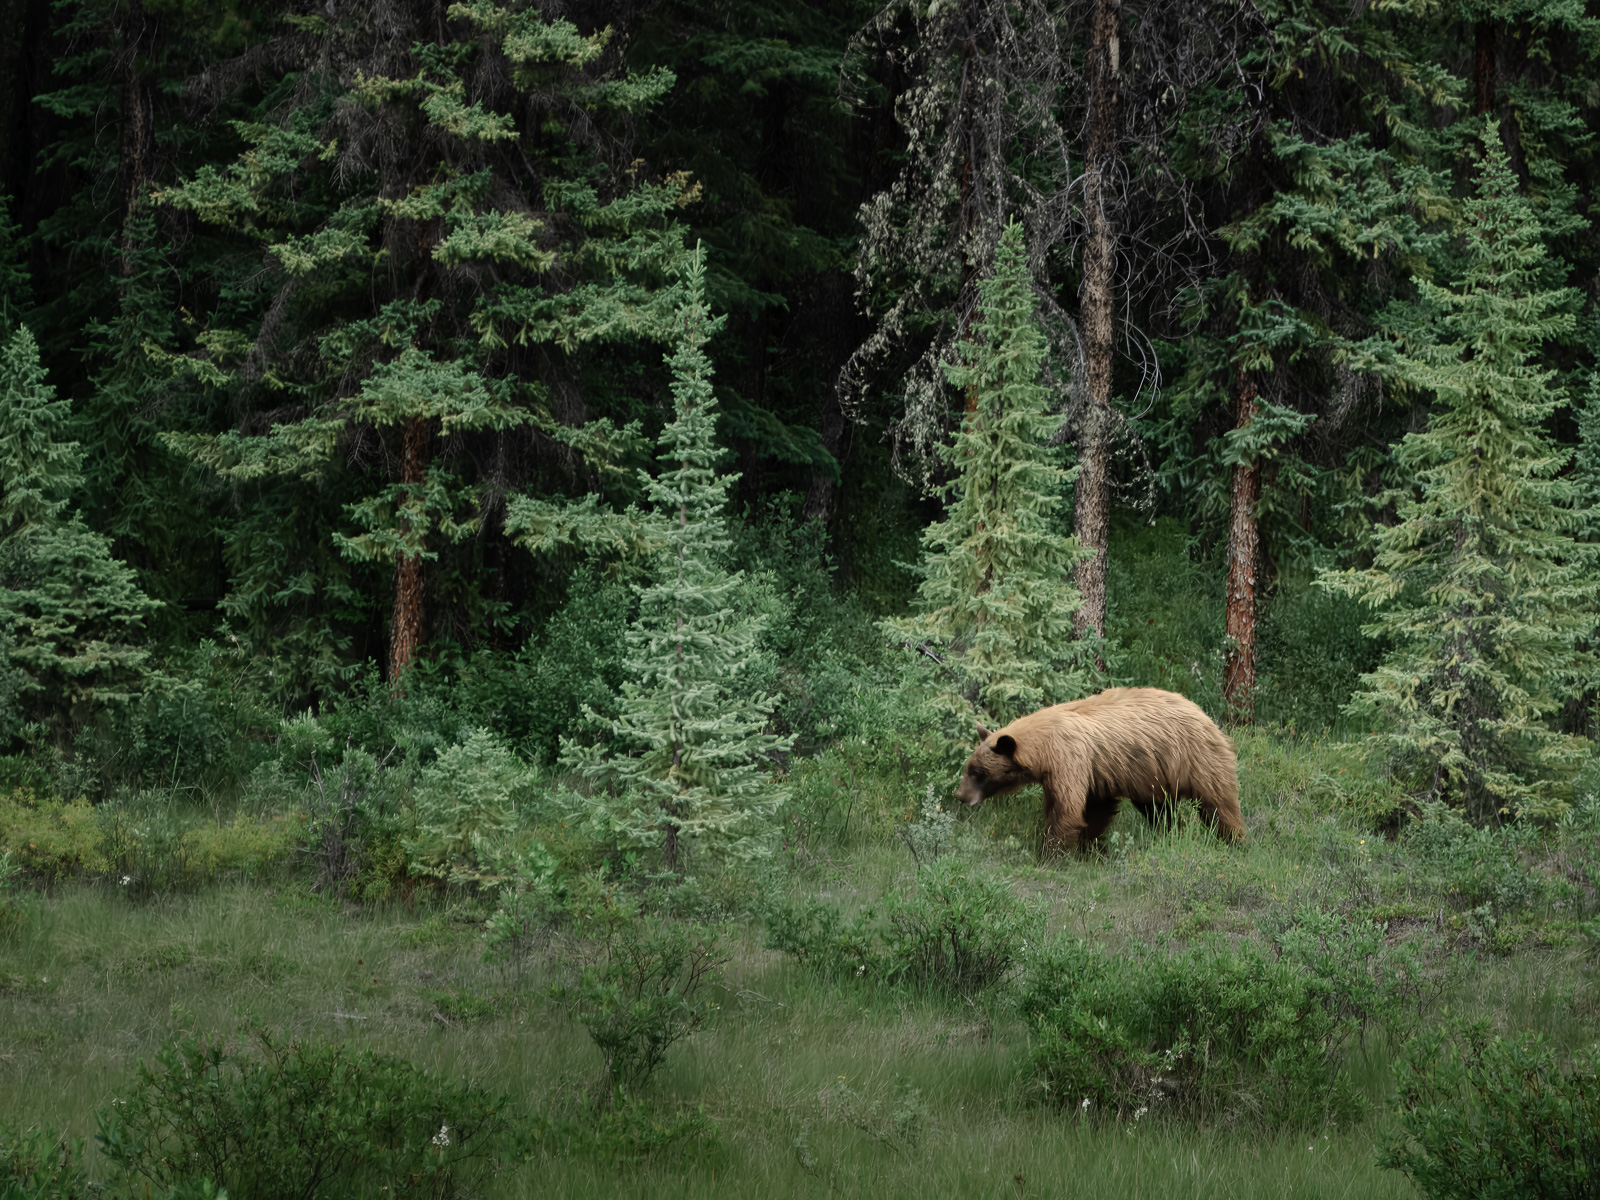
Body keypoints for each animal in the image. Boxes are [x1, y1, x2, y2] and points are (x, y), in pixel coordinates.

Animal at [955, 687, 1244, 854]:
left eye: (979, 773)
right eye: (968, 768)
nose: (960, 796)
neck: (1044, 745)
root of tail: (1205, 715)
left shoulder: (1070, 759)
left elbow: (1067, 810)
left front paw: (1051, 853)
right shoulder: (1095, 773)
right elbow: (1096, 809)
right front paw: (1087, 846)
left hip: (1196, 759)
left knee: (1218, 803)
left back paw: (1233, 840)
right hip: (1151, 775)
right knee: (1159, 810)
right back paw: (1171, 834)